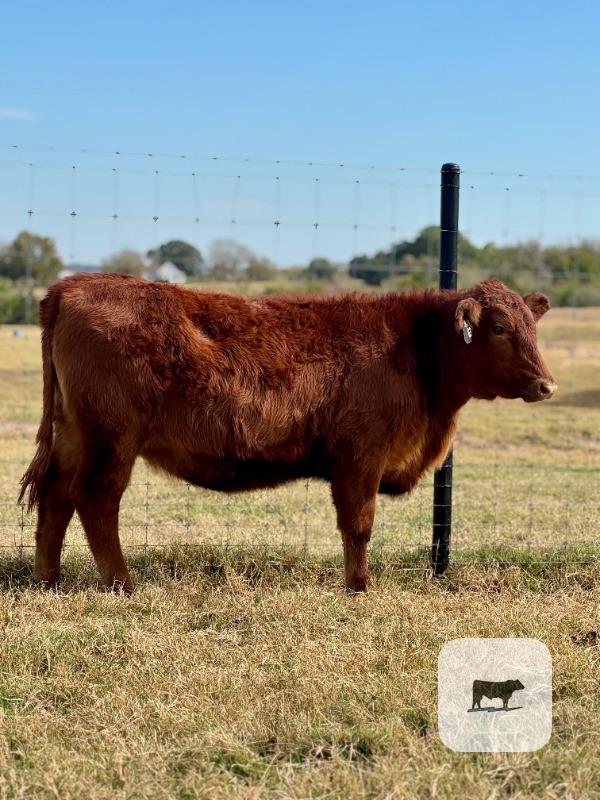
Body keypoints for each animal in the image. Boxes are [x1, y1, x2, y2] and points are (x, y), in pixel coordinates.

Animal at [19, 274, 556, 594]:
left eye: (532, 325)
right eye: (500, 328)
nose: (546, 385)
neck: (415, 347)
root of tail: (73, 284)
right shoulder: (361, 458)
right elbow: (358, 526)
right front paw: (359, 588)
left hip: (74, 434)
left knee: (55, 499)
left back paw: (48, 580)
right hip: (111, 439)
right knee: (95, 500)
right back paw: (122, 584)